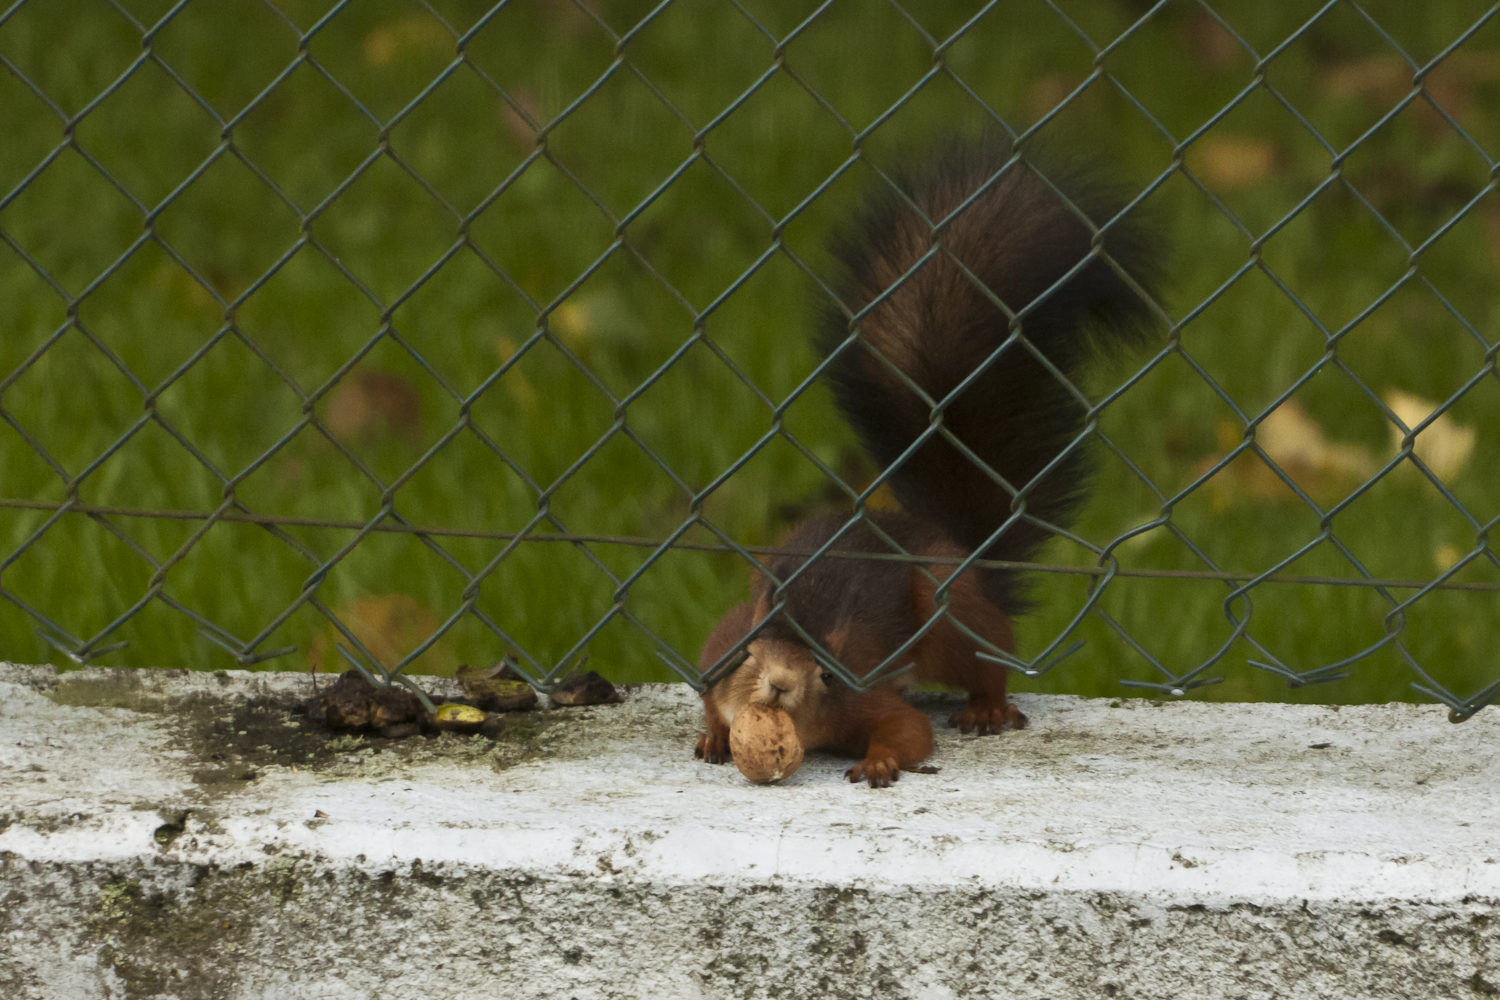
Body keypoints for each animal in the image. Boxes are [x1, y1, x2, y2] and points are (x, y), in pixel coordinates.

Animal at [690, 134, 1158, 791]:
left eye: (824, 672)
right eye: (748, 656)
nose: (780, 686)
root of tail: (951, 544)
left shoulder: (862, 695)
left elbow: (907, 729)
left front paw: (880, 759)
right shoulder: (722, 644)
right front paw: (712, 734)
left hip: (947, 612)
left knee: (987, 651)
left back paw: (987, 705)